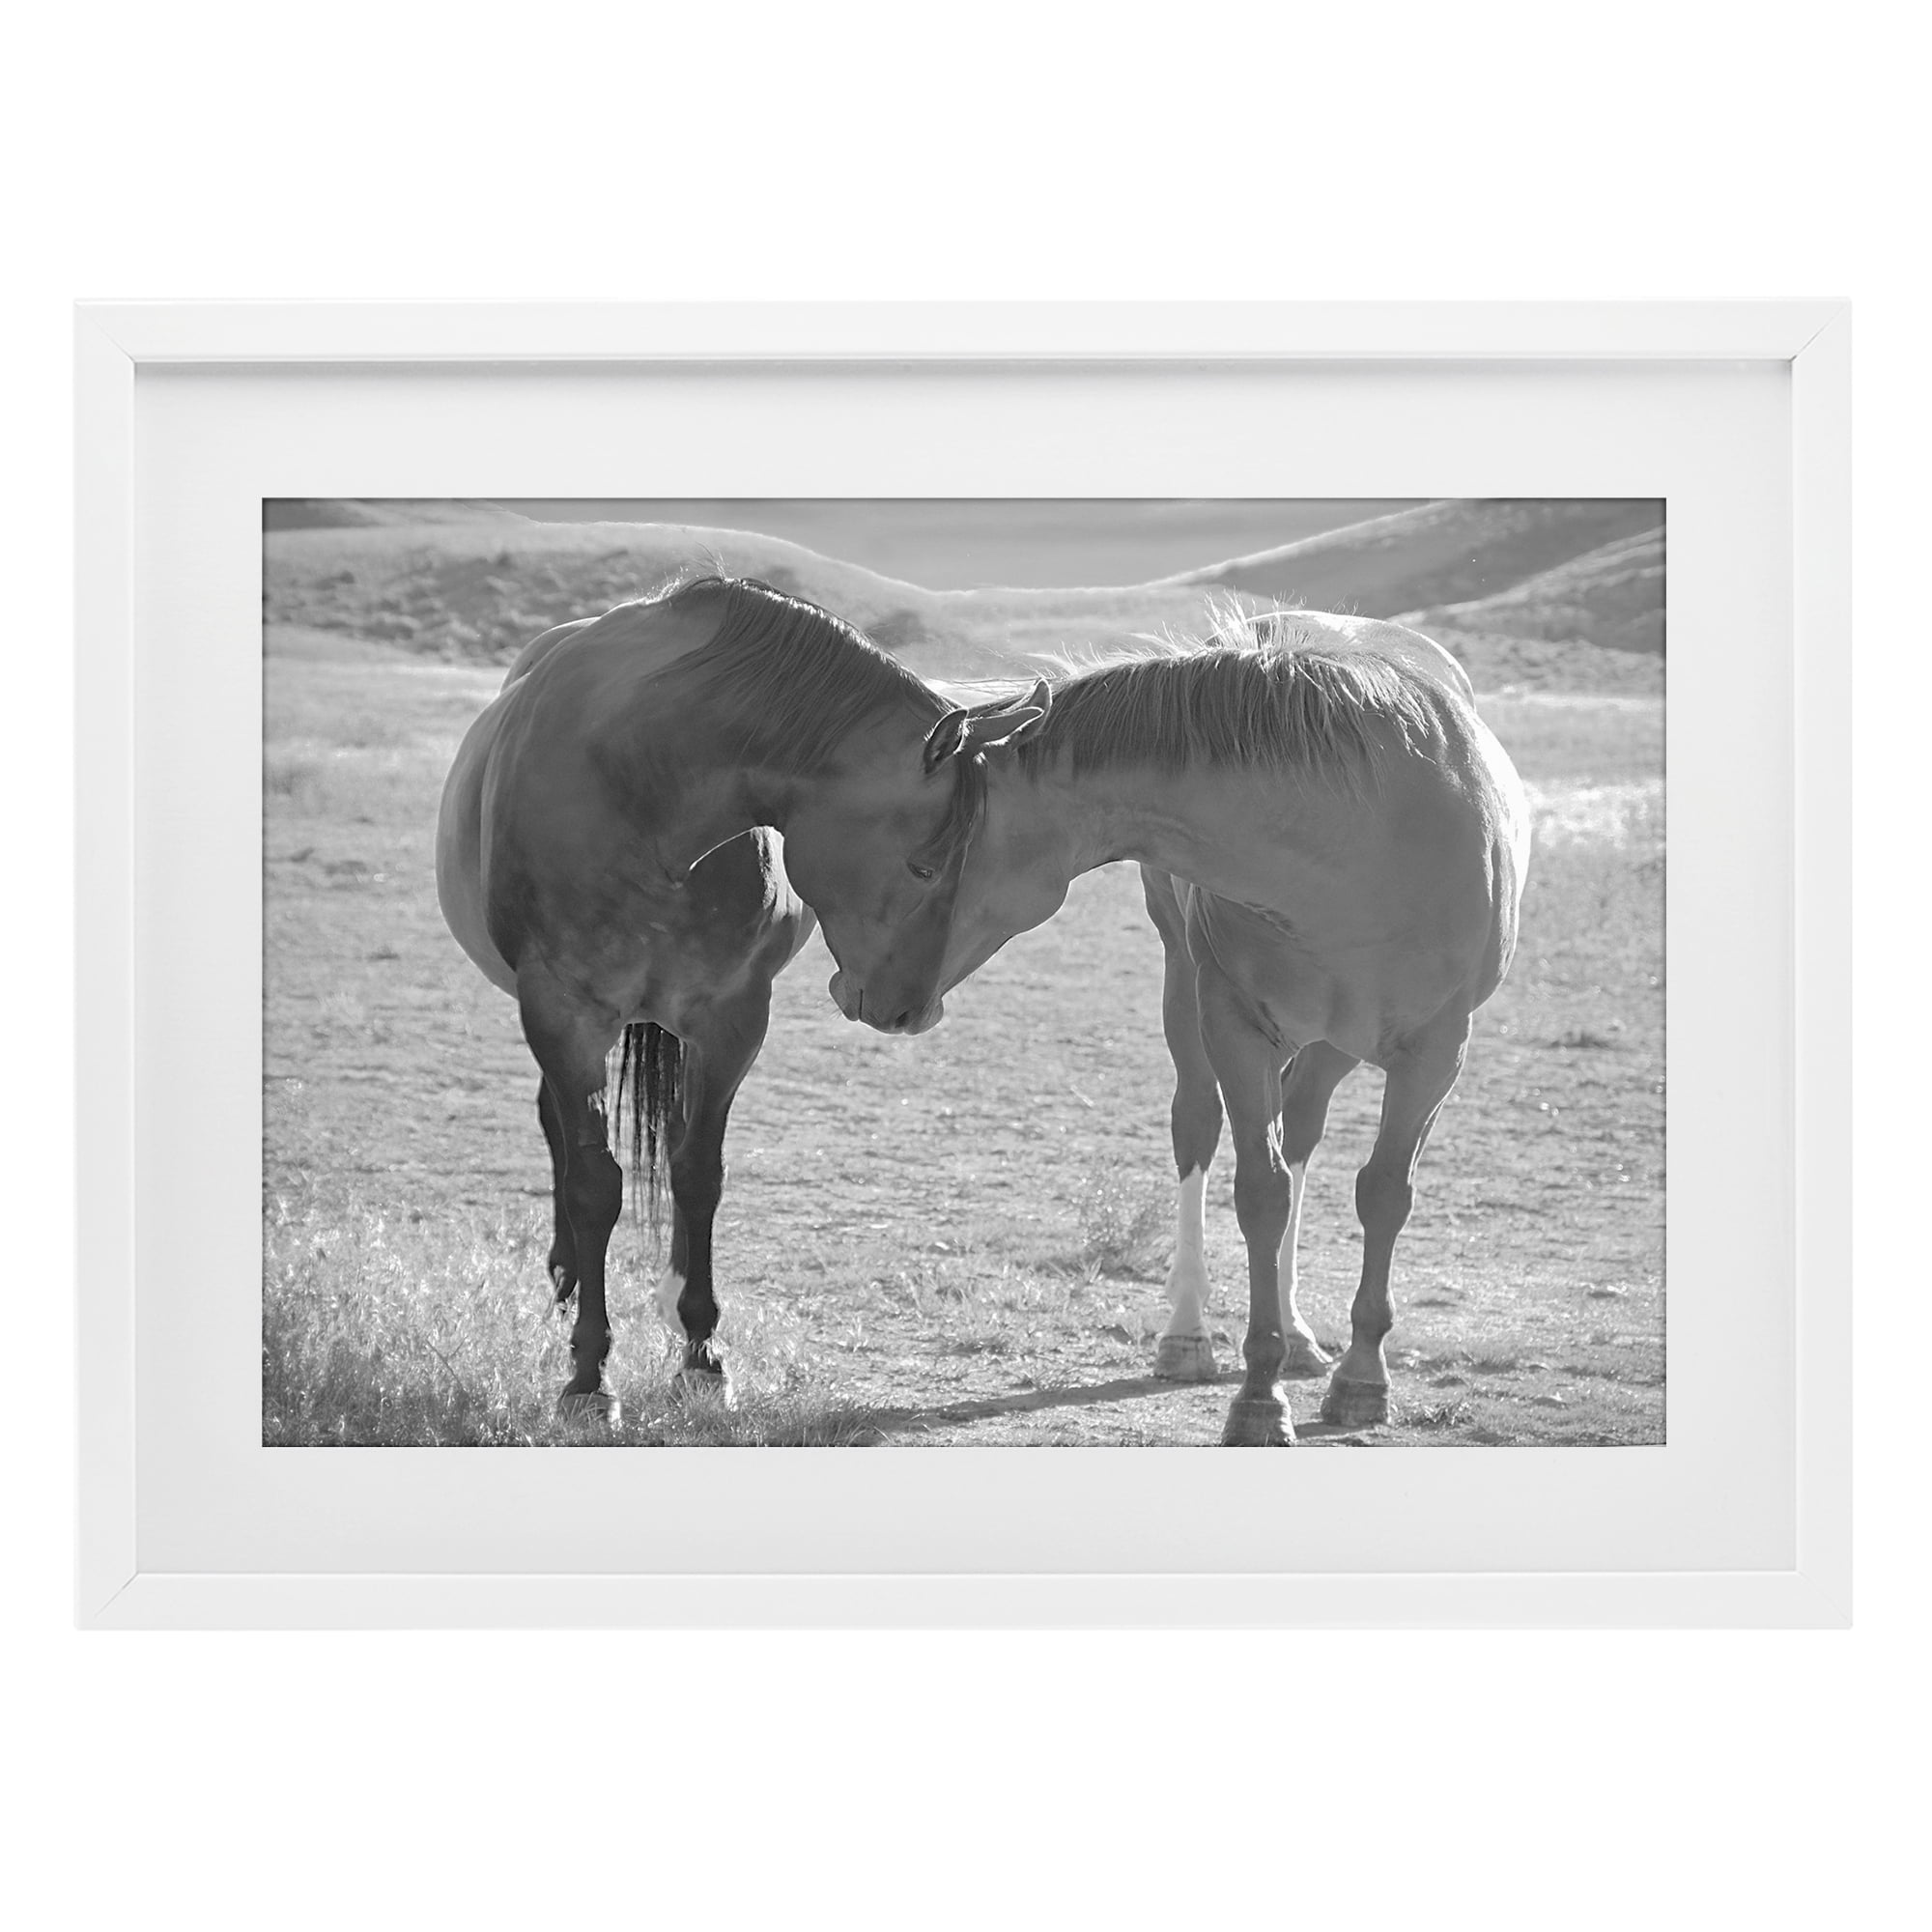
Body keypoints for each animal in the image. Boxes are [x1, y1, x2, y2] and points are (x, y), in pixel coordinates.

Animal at [435, 572, 1045, 1420]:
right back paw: (566, 1276)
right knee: (559, 1130)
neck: (642, 786)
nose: (912, 1010)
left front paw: (700, 1355)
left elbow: (698, 1174)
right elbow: (595, 1185)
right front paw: (589, 1375)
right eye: (926, 864)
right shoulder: (562, 1014)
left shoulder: (730, 1020)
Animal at [906, 603, 1532, 1446]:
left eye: (926, 860)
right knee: (1198, 1127)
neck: (1354, 839)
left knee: (1302, 1130)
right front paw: (1259, 1397)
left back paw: (1299, 1334)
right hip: (1188, 990)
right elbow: (1259, 1193)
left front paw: (1361, 1378)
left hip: (1333, 1042)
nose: (872, 992)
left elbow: (1382, 1194)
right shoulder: (1233, 1024)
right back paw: (1188, 1335)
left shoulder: (1437, 1051)